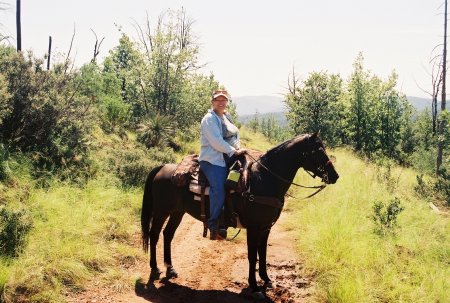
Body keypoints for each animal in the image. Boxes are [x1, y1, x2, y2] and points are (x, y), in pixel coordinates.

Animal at [141, 133, 338, 300]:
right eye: (318, 150)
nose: (335, 176)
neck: (263, 180)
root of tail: (162, 168)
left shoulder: (266, 227)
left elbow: (263, 253)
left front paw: (267, 280)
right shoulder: (254, 228)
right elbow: (252, 255)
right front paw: (255, 287)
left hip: (177, 212)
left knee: (168, 234)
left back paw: (170, 269)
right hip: (161, 211)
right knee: (154, 235)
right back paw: (155, 268)